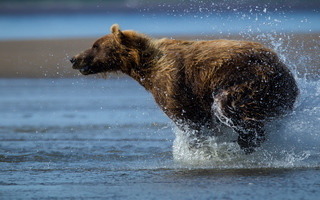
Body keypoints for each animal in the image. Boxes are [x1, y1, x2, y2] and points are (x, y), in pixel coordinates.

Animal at [71, 24, 298, 153]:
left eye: (95, 45)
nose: (74, 58)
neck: (145, 67)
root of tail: (284, 68)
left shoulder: (173, 83)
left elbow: (189, 119)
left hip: (252, 80)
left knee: (230, 105)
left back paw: (246, 142)